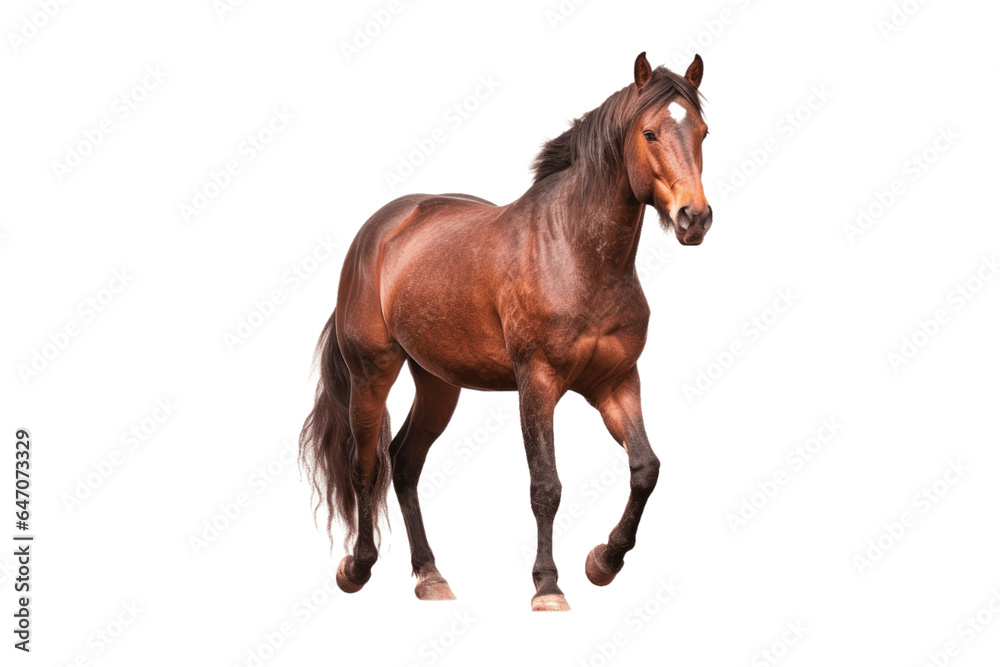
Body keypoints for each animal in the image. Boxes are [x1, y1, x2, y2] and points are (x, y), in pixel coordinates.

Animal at [300, 51, 712, 611]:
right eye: (649, 132)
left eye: (704, 132)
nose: (695, 218)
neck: (574, 254)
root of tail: (378, 231)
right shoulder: (536, 383)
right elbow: (546, 486)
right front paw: (547, 585)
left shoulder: (616, 382)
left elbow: (645, 469)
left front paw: (603, 562)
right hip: (372, 374)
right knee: (366, 466)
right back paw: (357, 568)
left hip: (438, 383)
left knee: (403, 463)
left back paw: (430, 576)